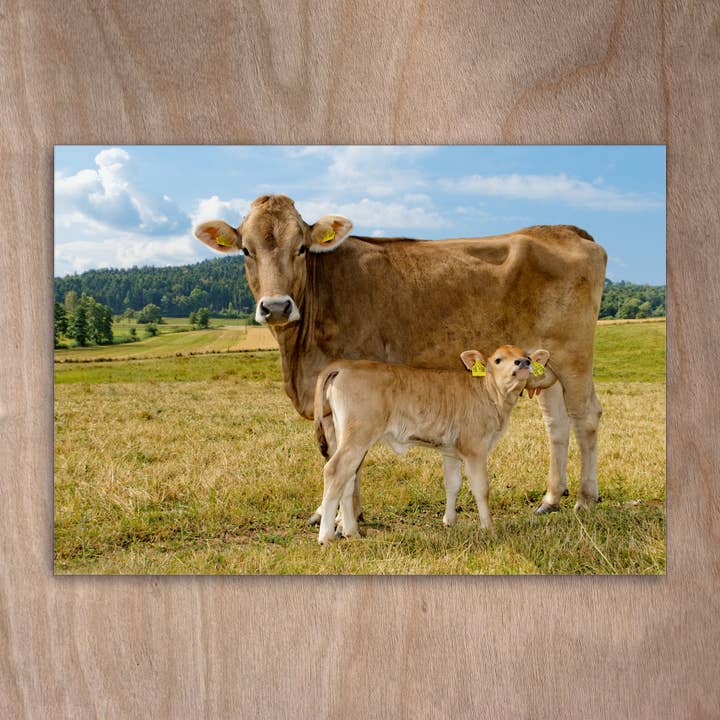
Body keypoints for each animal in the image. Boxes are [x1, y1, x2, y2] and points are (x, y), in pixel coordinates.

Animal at [194, 193, 607, 520]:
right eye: (246, 250)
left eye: (301, 248)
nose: (277, 307)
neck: (298, 358)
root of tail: (564, 230)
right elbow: (336, 457)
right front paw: (333, 514)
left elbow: (349, 461)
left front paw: (343, 520)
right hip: (545, 367)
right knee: (557, 425)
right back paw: (551, 498)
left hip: (574, 357)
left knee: (585, 418)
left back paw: (585, 499)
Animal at [312, 345, 551, 544]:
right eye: (499, 359)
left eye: (528, 357)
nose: (523, 362)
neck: (491, 395)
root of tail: (345, 365)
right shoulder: (475, 449)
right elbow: (481, 488)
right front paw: (489, 529)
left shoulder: (451, 451)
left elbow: (453, 483)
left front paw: (449, 521)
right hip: (358, 435)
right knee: (334, 470)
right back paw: (326, 537)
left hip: (347, 435)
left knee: (348, 478)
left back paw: (352, 531)